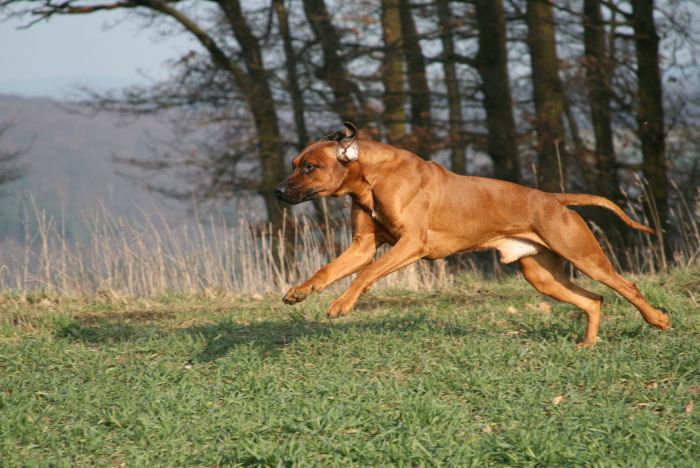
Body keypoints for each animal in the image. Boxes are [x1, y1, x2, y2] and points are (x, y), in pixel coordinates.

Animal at [275, 123, 671, 346]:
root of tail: (554, 199)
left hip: (585, 256)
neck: (372, 176)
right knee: (593, 300)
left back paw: (658, 320)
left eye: (309, 167)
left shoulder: (411, 244)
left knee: (627, 287)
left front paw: (342, 304)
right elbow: (331, 269)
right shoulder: (362, 246)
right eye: (293, 164)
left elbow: (366, 274)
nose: (278, 191)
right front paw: (300, 291)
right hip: (541, 275)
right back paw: (588, 344)